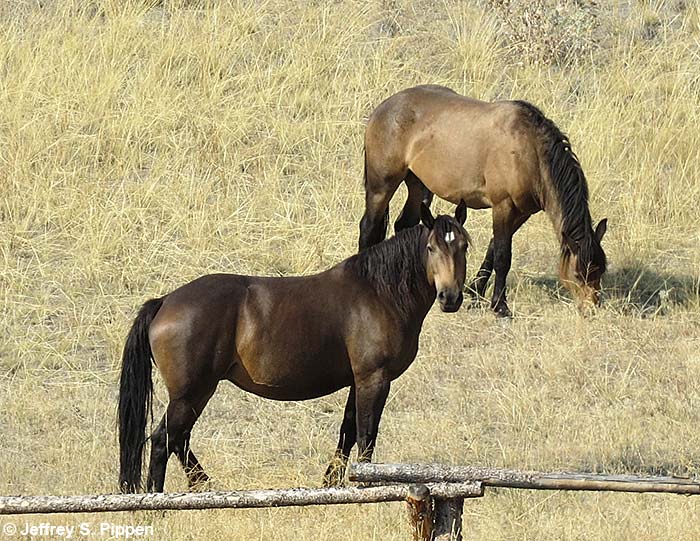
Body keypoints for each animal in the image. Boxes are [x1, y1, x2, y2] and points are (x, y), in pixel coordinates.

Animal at [118, 201, 469, 493]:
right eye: (431, 247)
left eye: (464, 245)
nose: (450, 297)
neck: (378, 292)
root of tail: (164, 302)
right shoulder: (374, 378)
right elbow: (366, 435)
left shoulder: (358, 380)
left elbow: (347, 431)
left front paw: (332, 482)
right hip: (191, 393)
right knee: (164, 441)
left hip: (195, 393)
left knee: (179, 440)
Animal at [359, 85, 607, 317]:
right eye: (578, 274)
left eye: (601, 269)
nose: (591, 309)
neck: (530, 151)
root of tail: (382, 108)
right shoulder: (502, 205)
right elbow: (503, 256)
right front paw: (500, 306)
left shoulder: (521, 212)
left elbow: (492, 249)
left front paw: (475, 292)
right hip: (382, 186)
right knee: (368, 227)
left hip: (418, 185)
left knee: (403, 224)